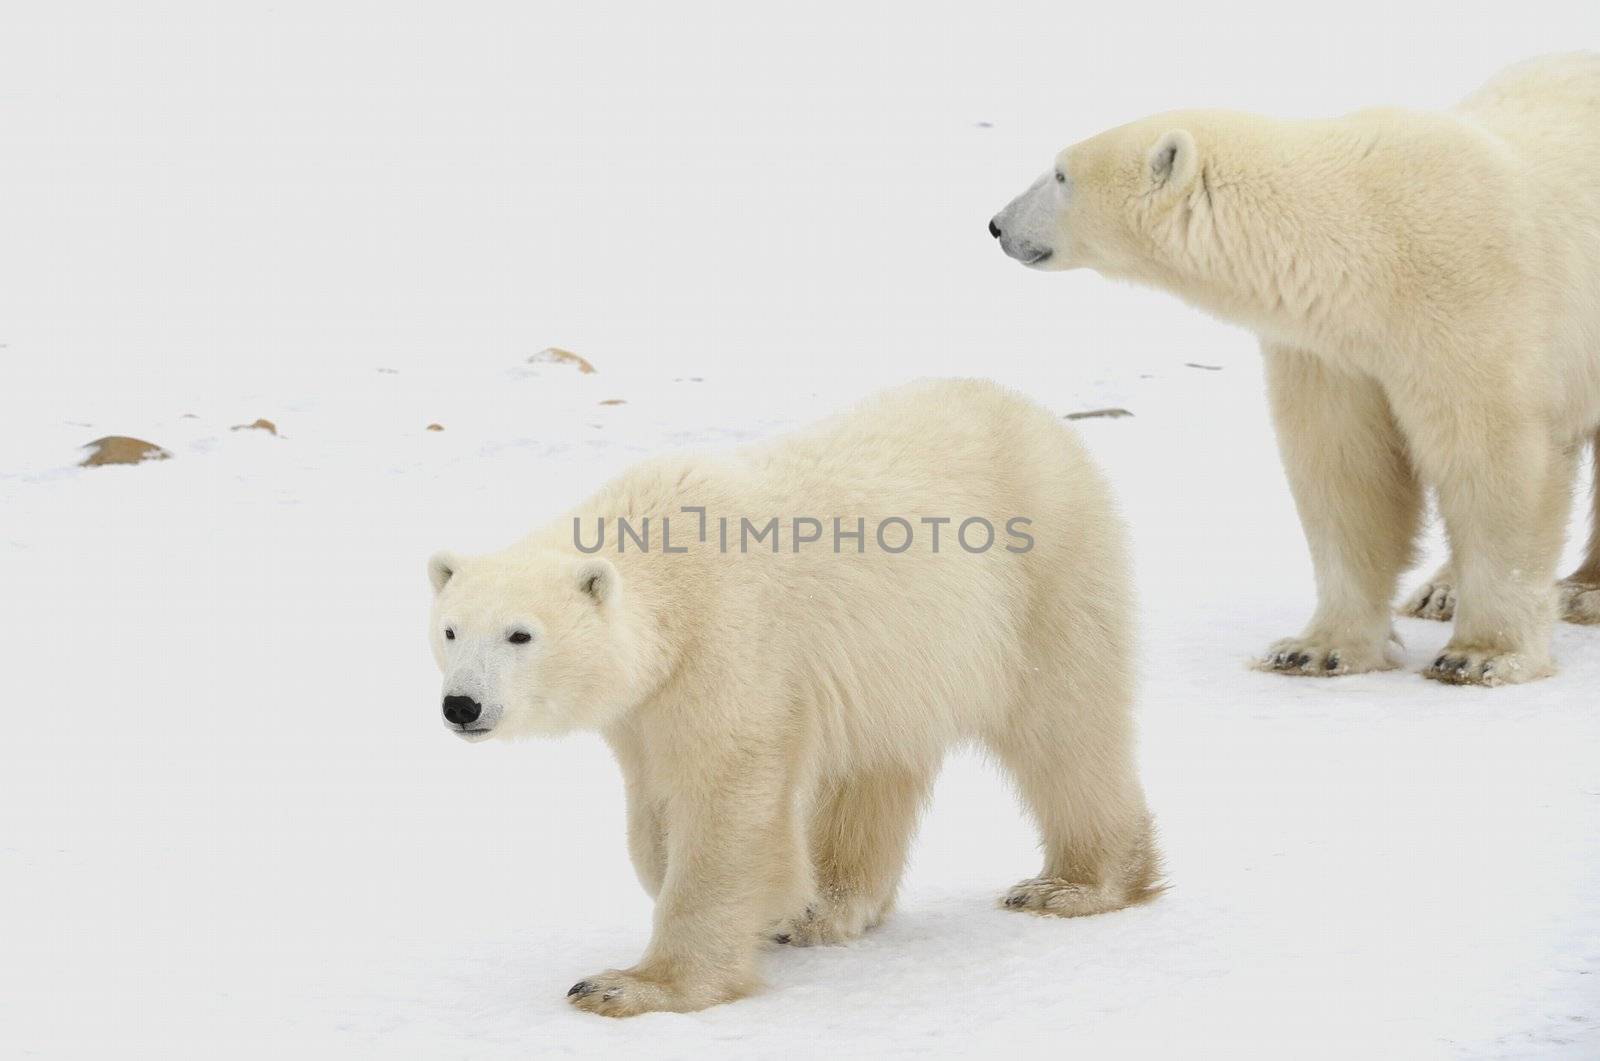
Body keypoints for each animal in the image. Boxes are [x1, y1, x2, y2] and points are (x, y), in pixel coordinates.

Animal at [425, 382, 1164, 1024]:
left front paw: (629, 985)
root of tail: (1037, 417)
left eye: (521, 634)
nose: (461, 705)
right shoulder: (647, 704)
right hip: (899, 663)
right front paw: (763, 901)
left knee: (1064, 725)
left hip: (1040, 575)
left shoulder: (729, 642)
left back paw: (1073, 885)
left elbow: (727, 802)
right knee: (873, 768)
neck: (668, 563)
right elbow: (655, 813)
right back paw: (827, 910)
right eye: (450, 629)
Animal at [985, 54, 1600, 688]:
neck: (1366, 240)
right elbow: (1346, 469)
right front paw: (1314, 650)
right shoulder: (1329, 346)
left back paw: (1581, 592)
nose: (997, 224)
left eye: (1060, 174)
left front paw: (1480, 656)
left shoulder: (1470, 303)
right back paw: (1442, 592)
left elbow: (1493, 462)